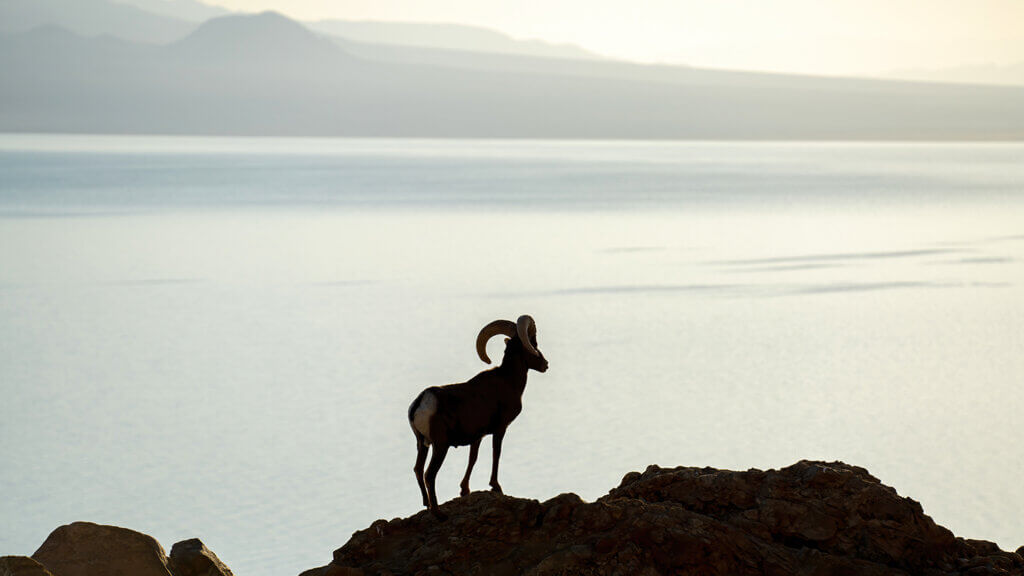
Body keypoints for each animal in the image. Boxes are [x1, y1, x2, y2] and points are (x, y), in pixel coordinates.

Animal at [409, 313, 552, 516]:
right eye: (534, 343)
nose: (545, 365)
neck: (509, 380)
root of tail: (422, 402)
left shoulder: (478, 436)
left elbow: (473, 459)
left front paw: (465, 490)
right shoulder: (500, 429)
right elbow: (496, 454)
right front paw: (496, 486)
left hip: (422, 444)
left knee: (418, 469)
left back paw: (427, 505)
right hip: (440, 445)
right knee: (430, 474)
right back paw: (438, 514)